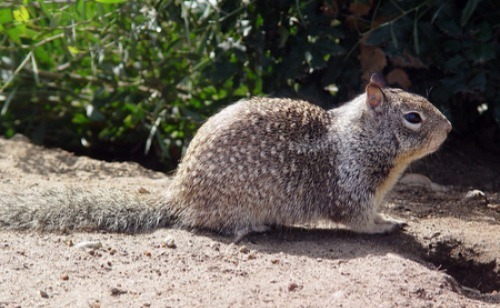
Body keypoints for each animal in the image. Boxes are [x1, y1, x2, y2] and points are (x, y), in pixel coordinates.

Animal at [0, 73, 454, 242]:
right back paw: (253, 227)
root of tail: (178, 195)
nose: (450, 127)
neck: (359, 138)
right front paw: (388, 225)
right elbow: (361, 221)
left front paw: (392, 217)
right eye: (413, 118)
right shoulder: (352, 189)